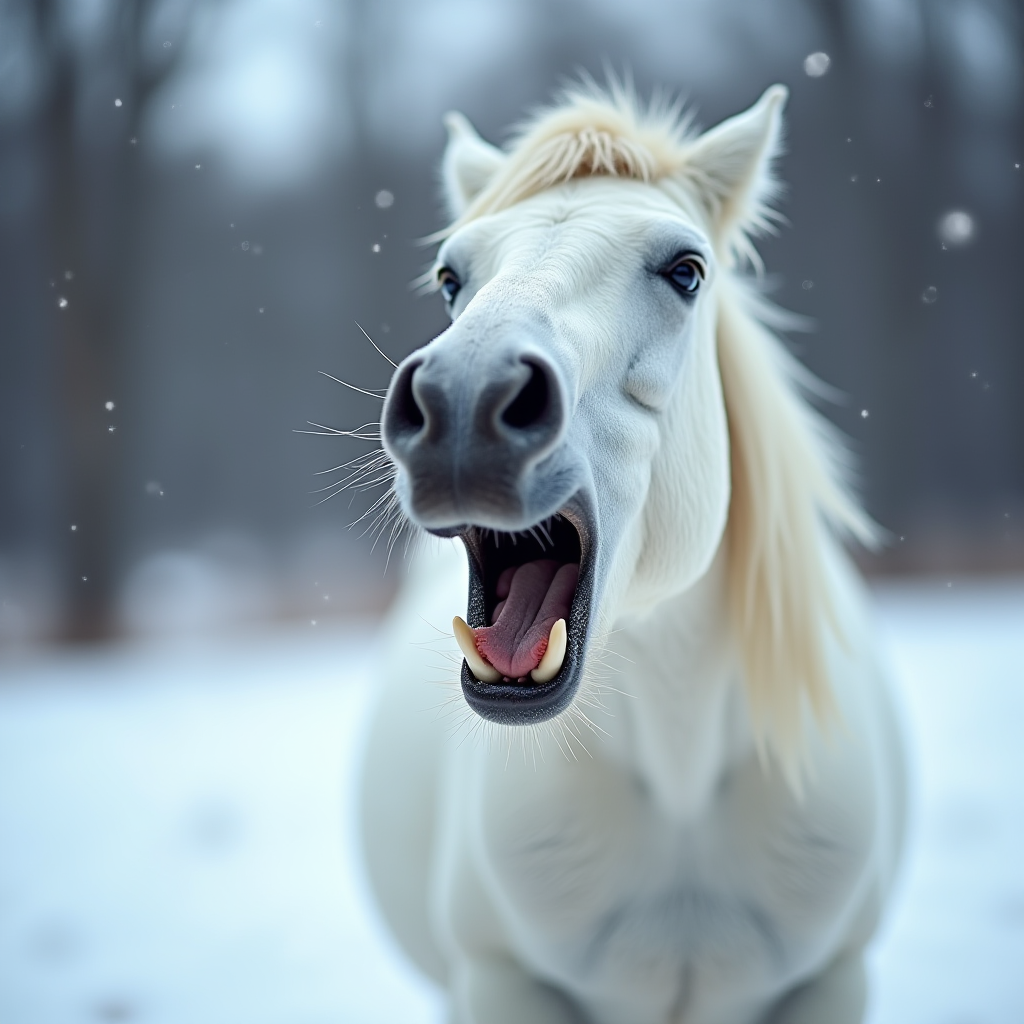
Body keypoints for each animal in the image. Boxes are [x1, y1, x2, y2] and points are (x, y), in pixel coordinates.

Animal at [358, 86, 905, 1024]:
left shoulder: (834, 978)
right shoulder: (500, 980)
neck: (681, 780)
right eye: (451, 278)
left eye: (686, 270)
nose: (464, 400)